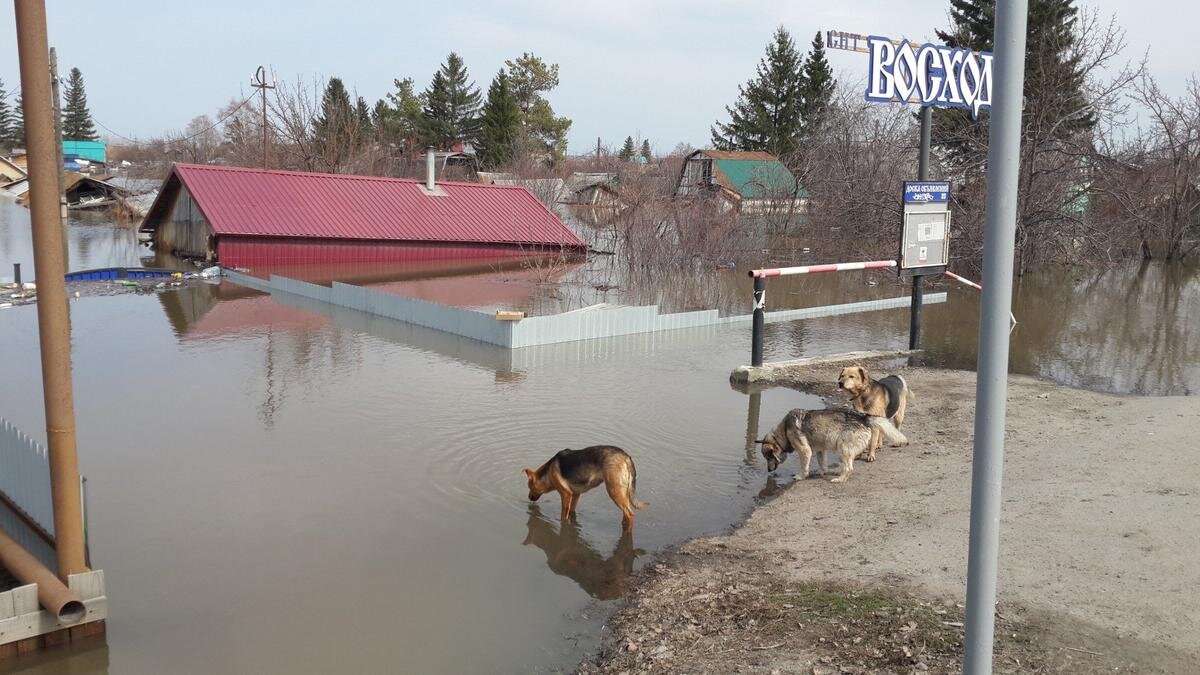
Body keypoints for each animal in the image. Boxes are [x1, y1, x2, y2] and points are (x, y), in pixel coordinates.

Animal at [763, 408, 902, 480]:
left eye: (768, 458)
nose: (768, 470)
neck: (784, 430)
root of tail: (863, 417)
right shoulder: (820, 450)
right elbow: (822, 463)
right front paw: (822, 472)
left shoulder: (805, 451)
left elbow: (804, 467)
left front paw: (801, 476)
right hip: (844, 449)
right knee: (847, 466)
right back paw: (837, 472)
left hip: (842, 448)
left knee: (849, 468)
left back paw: (839, 479)